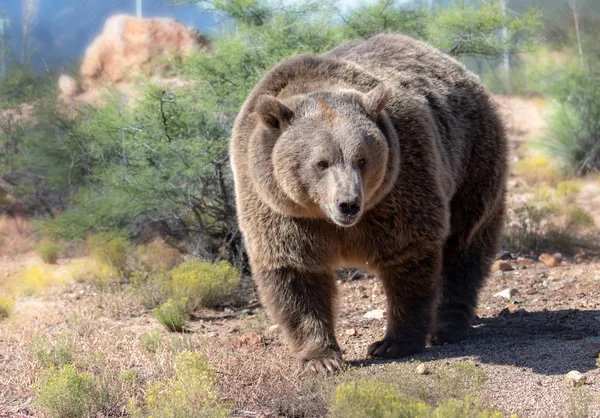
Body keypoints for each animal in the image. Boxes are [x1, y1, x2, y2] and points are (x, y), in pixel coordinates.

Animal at [230, 32, 506, 372]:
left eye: (361, 159)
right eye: (321, 162)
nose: (348, 203)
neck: (327, 219)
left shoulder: (400, 183)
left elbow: (409, 256)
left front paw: (393, 343)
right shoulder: (278, 207)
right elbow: (295, 273)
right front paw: (322, 358)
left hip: (471, 157)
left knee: (465, 245)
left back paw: (447, 326)